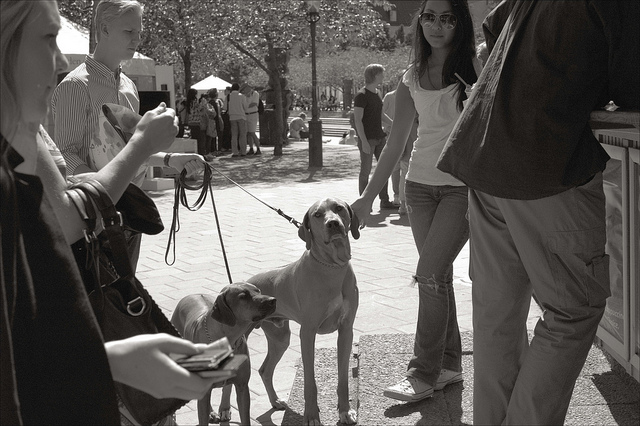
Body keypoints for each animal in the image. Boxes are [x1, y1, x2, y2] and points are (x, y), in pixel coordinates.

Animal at [171, 282, 276, 426]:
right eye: (243, 296)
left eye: (258, 291)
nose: (273, 300)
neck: (229, 338)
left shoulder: (242, 386)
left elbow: (245, 416)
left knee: (227, 388)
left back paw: (223, 410)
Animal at [249, 197, 360, 425]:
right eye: (317, 214)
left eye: (339, 208)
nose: (333, 224)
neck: (331, 266)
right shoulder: (307, 332)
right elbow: (310, 381)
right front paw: (311, 416)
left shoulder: (346, 330)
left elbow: (343, 377)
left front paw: (345, 411)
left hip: (280, 337)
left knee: (265, 370)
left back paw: (275, 401)